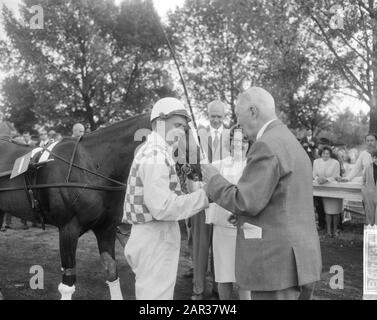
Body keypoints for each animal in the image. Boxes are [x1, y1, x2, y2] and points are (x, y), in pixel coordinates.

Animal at [0, 113, 201, 300]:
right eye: (183, 128)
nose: (200, 167)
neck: (90, 165)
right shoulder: (68, 229)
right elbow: (68, 283)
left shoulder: (106, 228)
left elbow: (112, 272)